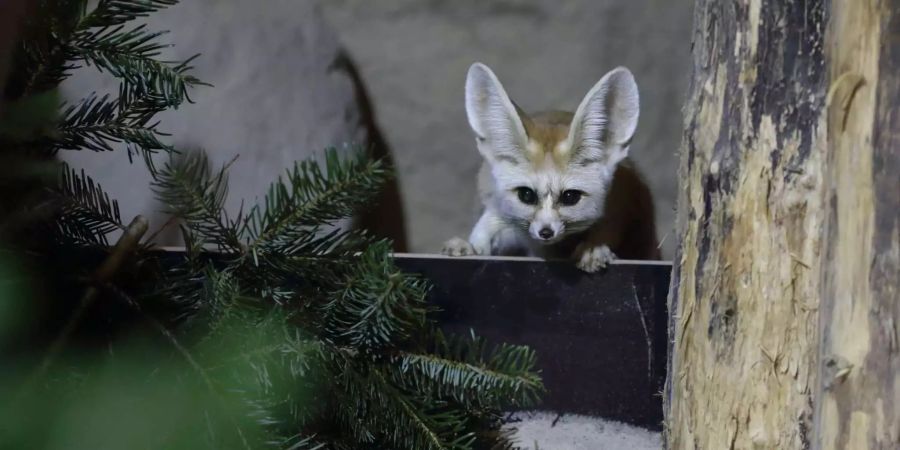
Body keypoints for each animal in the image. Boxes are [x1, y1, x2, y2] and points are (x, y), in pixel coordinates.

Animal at [442, 62, 660, 272]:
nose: (545, 232)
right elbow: (486, 229)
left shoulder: (617, 208)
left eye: (570, 197)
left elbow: (605, 232)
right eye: (526, 195)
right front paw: (470, 247)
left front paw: (594, 249)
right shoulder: (503, 216)